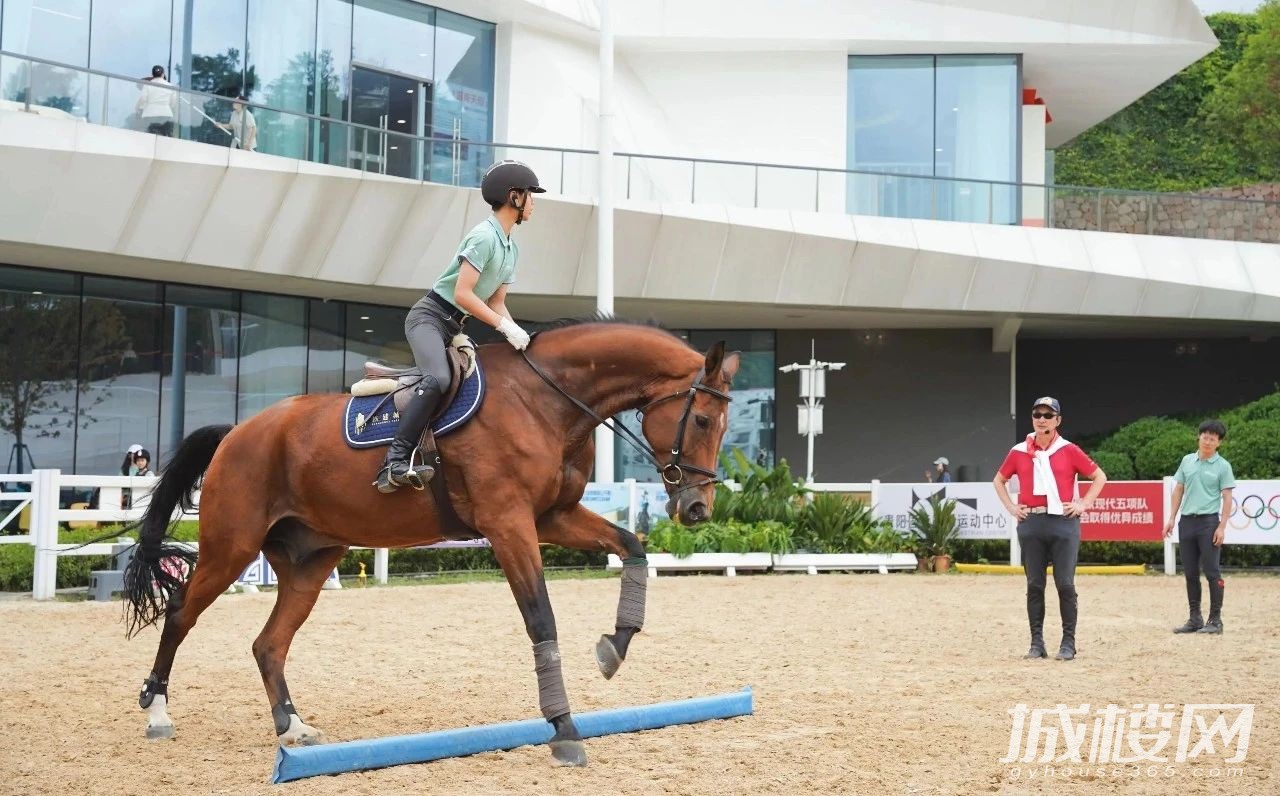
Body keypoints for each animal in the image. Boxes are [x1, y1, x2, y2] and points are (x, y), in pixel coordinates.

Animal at [121, 319, 740, 767]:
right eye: (702, 420)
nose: (697, 509)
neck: (545, 399)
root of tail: (237, 431)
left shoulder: (552, 517)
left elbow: (632, 547)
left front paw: (615, 646)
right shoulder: (510, 523)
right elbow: (541, 619)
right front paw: (564, 729)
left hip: (312, 559)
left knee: (269, 643)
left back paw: (292, 726)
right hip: (232, 546)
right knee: (181, 613)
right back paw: (157, 712)